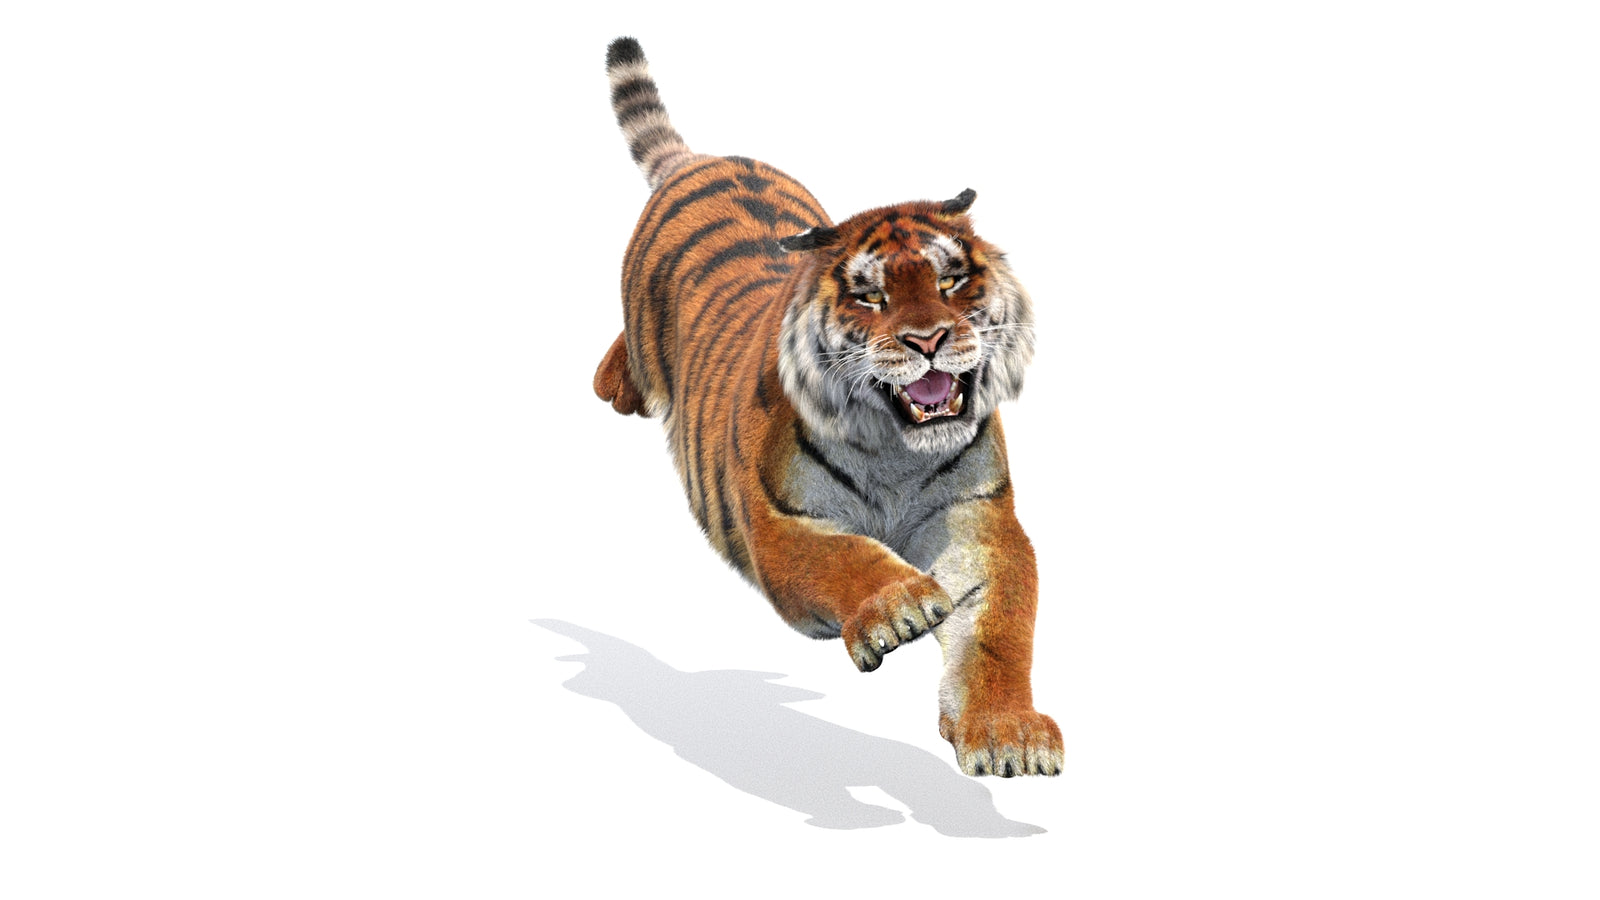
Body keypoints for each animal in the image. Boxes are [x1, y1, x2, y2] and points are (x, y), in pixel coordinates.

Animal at [592, 37, 1063, 777]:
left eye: (950, 279)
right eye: (870, 297)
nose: (928, 340)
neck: (898, 451)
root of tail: (701, 160)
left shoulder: (979, 521)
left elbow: (999, 629)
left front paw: (1007, 731)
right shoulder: (780, 521)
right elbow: (844, 557)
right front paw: (899, 606)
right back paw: (613, 382)